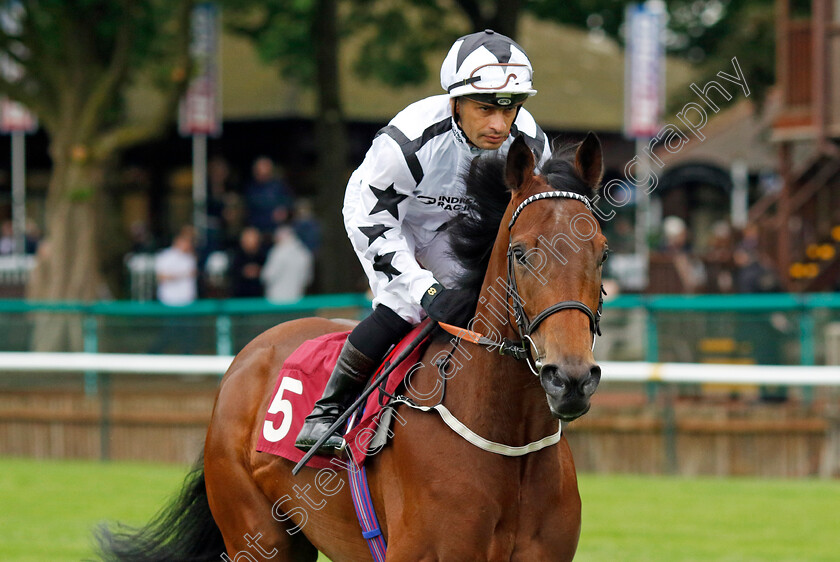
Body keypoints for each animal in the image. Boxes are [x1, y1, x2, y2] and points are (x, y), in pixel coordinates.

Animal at [97, 133, 612, 556]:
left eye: (602, 252)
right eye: (521, 253)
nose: (569, 379)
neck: (508, 441)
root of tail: (248, 355)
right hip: (257, 534)